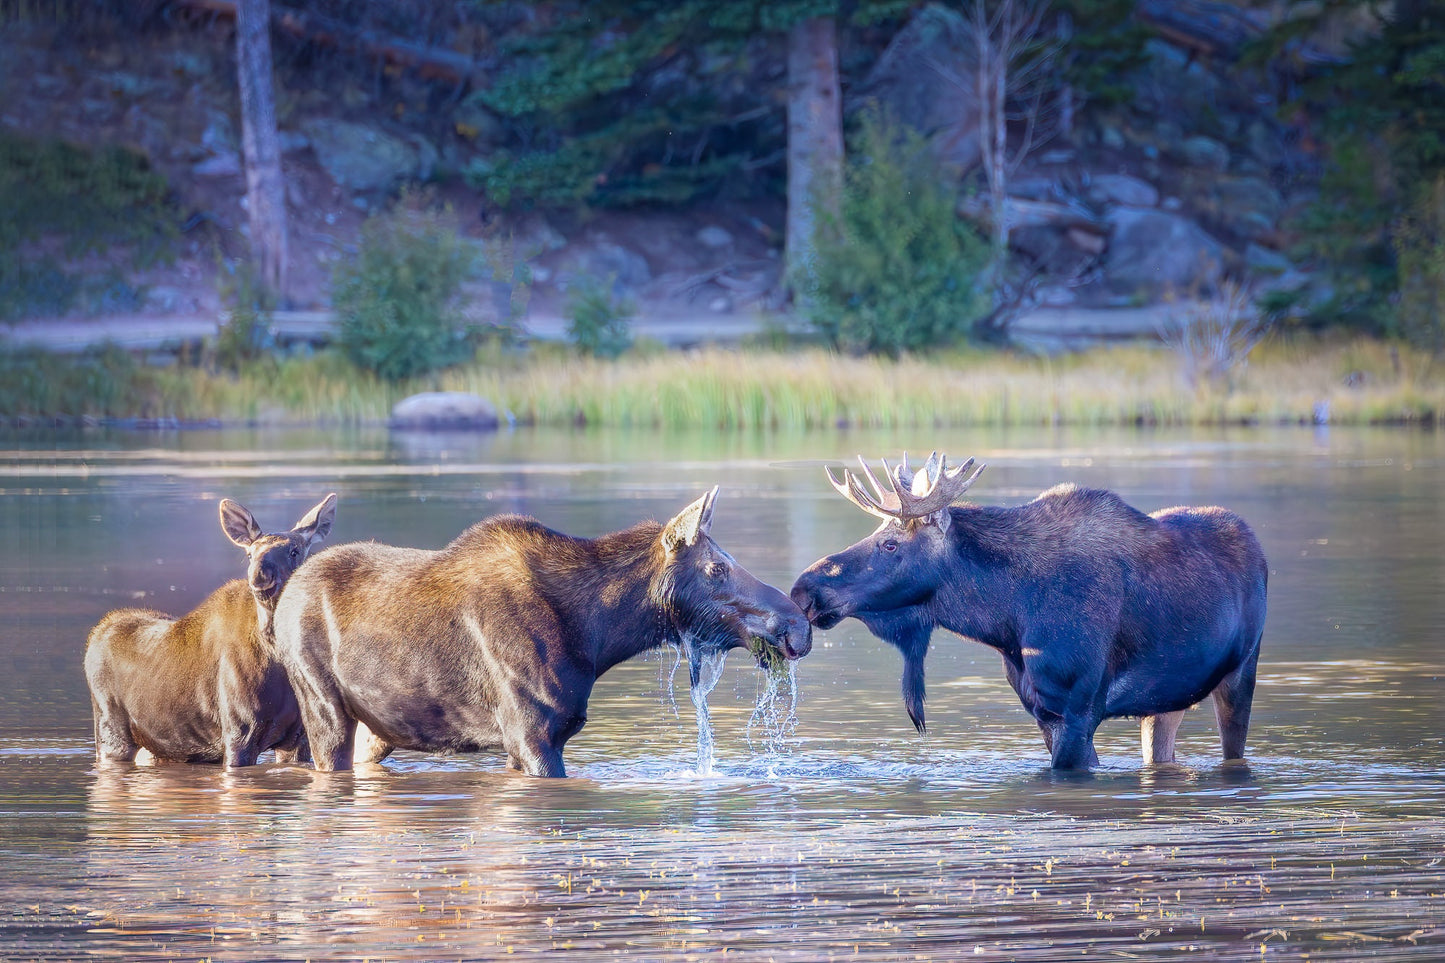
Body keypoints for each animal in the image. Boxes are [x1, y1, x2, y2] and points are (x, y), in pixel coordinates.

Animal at [85, 491, 339, 763]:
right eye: (250, 554)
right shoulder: (239, 732)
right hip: (111, 732)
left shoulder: (297, 738)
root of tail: (98, 632)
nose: (260, 577)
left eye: (294, 551)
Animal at [271, 488, 814, 775]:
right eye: (717, 568)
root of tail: (285, 596)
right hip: (322, 705)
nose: (798, 625)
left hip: (380, 725)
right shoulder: (530, 732)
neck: (599, 635)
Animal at [791, 445, 1265, 769]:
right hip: (1166, 700)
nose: (803, 589)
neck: (1007, 616)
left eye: (890, 543)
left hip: (1241, 671)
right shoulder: (1043, 712)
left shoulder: (1078, 708)